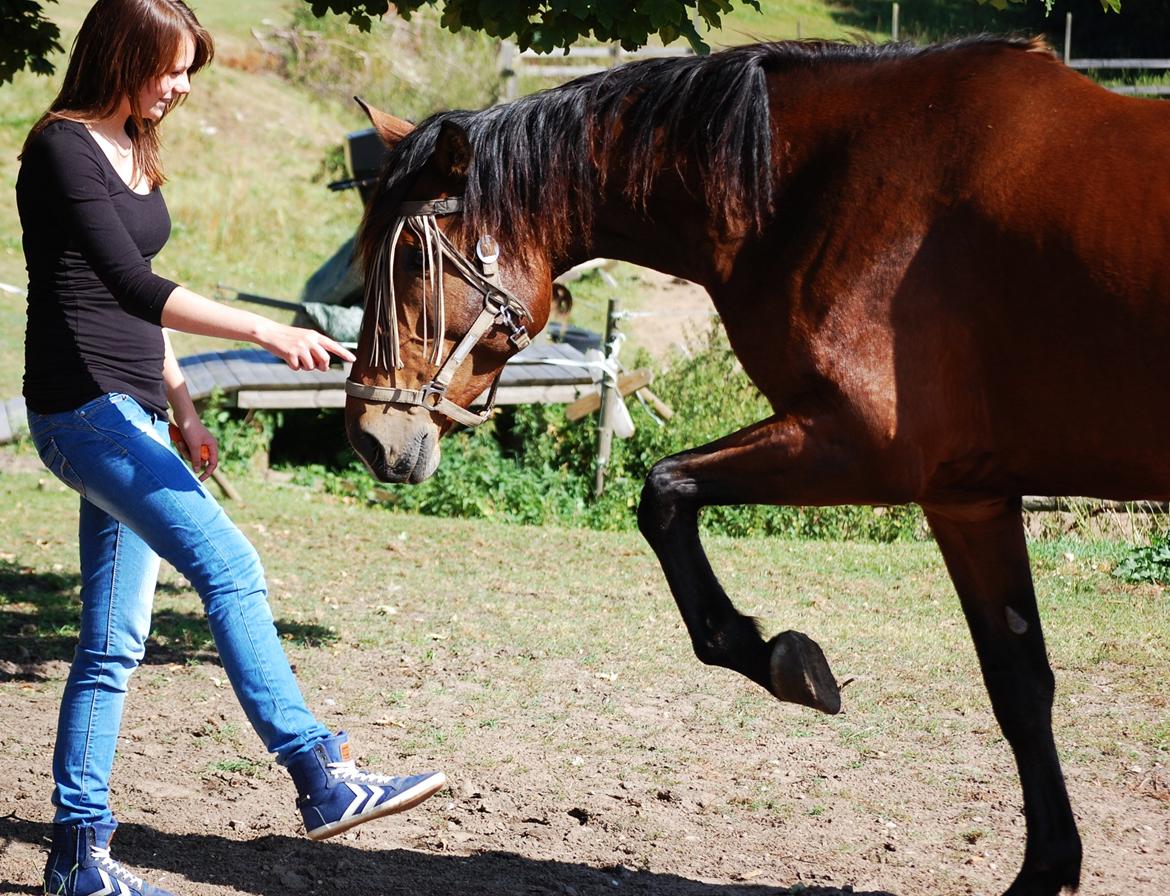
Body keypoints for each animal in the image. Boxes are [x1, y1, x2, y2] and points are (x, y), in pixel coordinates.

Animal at [343, 38, 1170, 893]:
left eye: (411, 257)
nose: (368, 434)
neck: (817, 179)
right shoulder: (966, 499)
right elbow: (1020, 684)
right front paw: (1046, 868)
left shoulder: (865, 447)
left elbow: (662, 493)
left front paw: (776, 658)